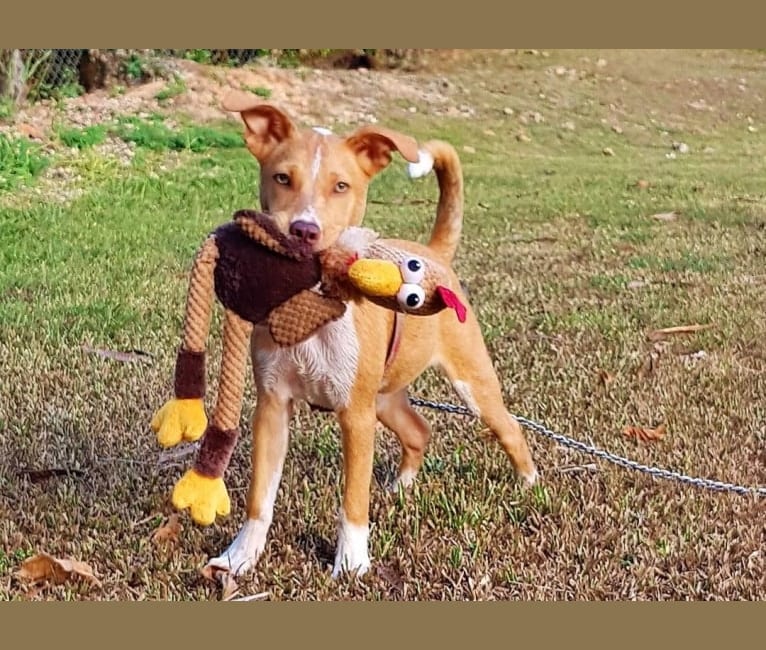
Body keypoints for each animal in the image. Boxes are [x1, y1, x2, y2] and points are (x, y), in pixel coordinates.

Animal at [206, 91, 540, 576]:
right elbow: (259, 498)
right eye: (282, 177)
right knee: (419, 430)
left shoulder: (356, 417)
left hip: (468, 383)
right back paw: (401, 488)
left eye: (341, 186)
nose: (304, 230)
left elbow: (353, 501)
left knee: (509, 427)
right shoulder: (272, 406)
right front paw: (240, 557)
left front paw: (350, 564)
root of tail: (433, 253)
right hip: (384, 396)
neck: (314, 309)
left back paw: (530, 484)